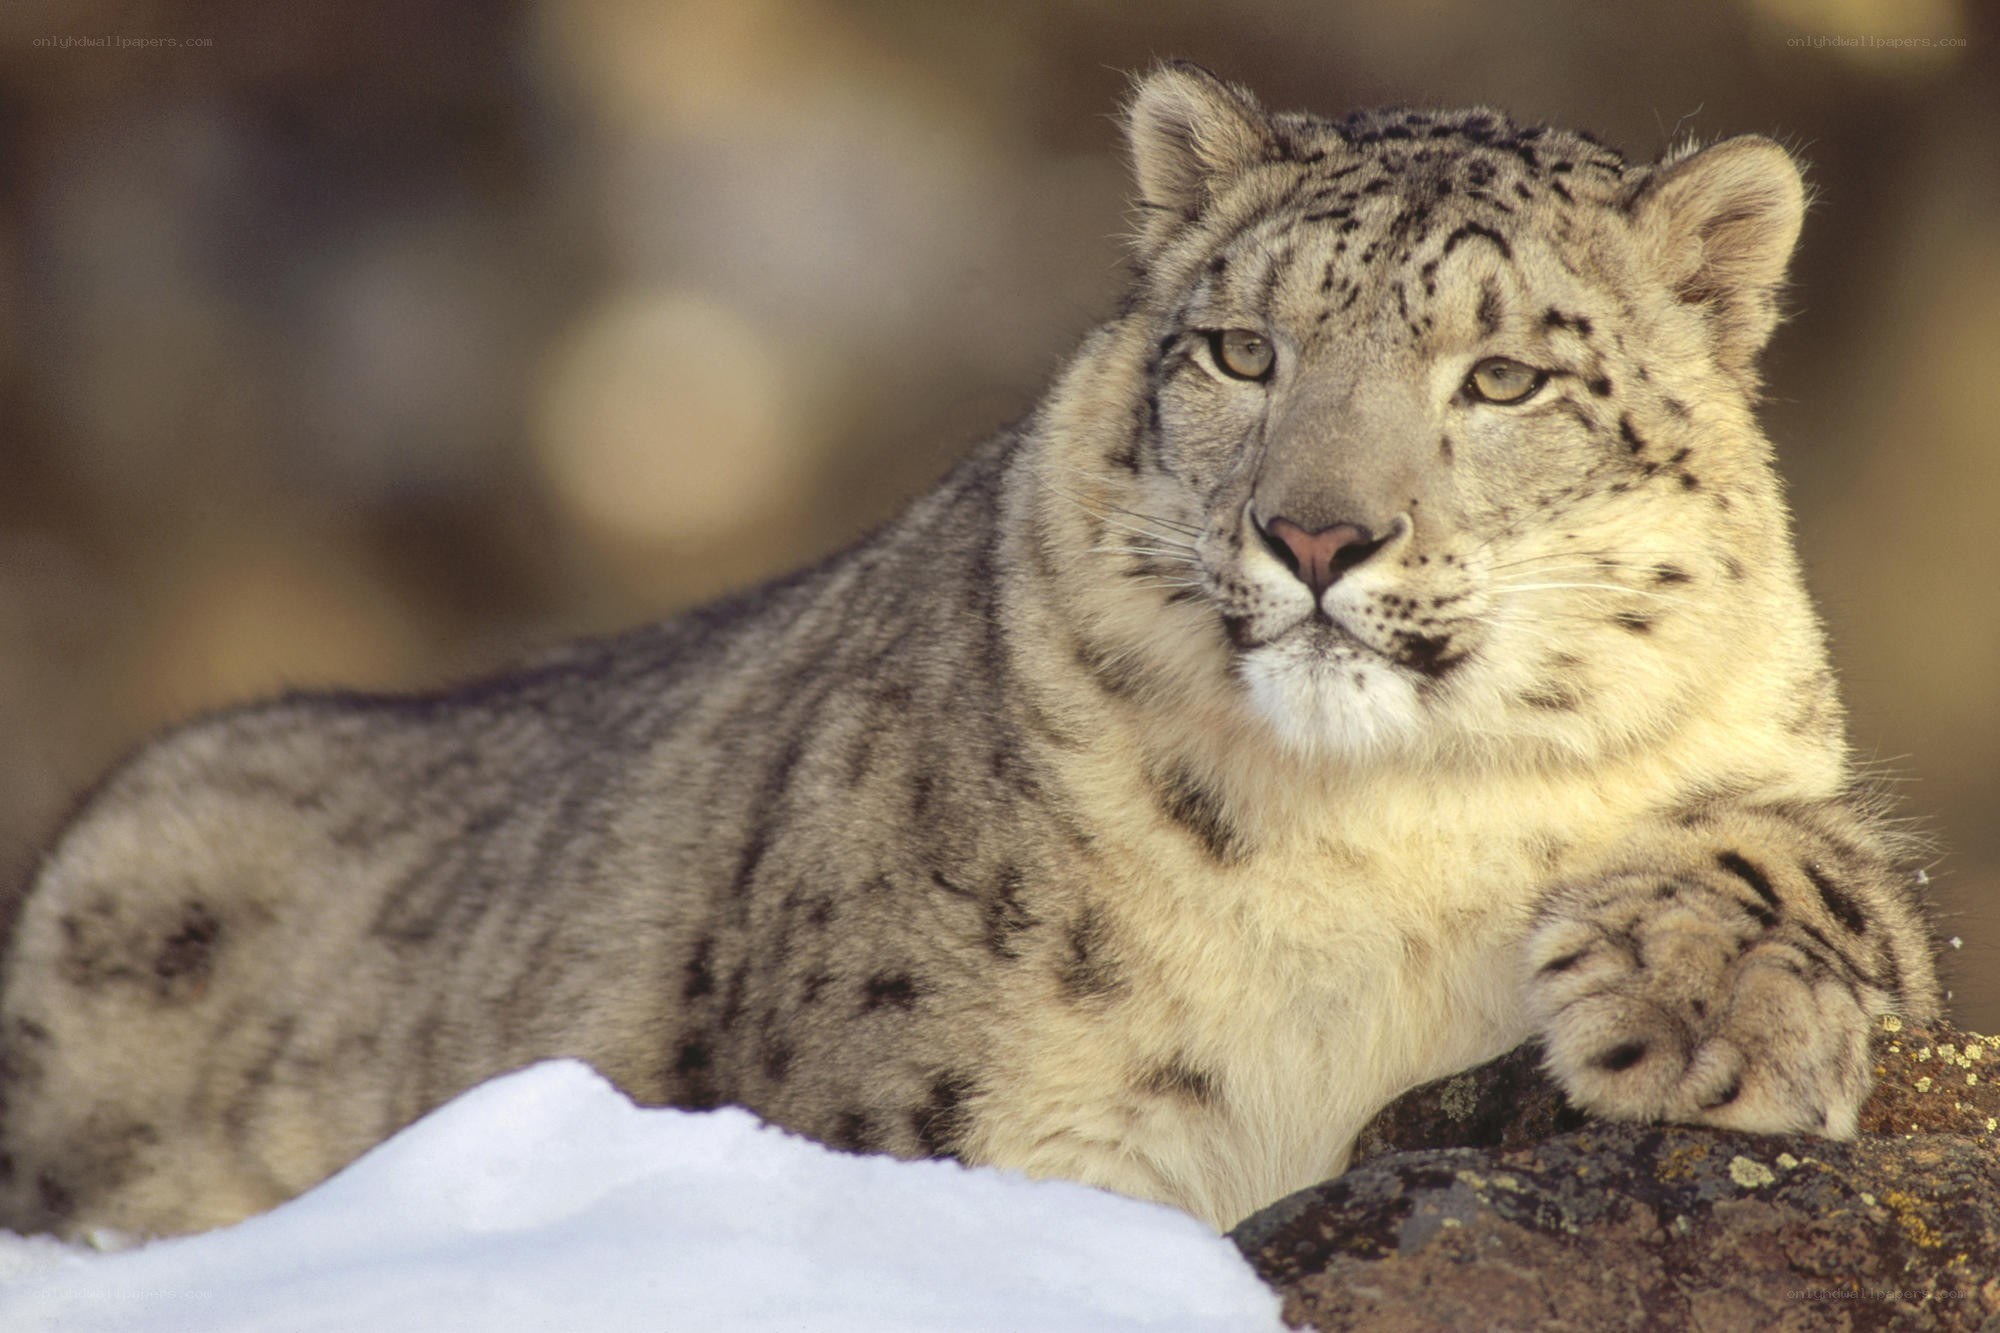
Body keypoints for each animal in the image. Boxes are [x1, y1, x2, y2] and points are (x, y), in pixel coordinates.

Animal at [0, 63, 1939, 1239]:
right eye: (1240, 349)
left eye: (1509, 376)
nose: (1316, 536)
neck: (1384, 839)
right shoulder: (970, 1121)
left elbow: (1833, 866)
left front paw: (1696, 1021)